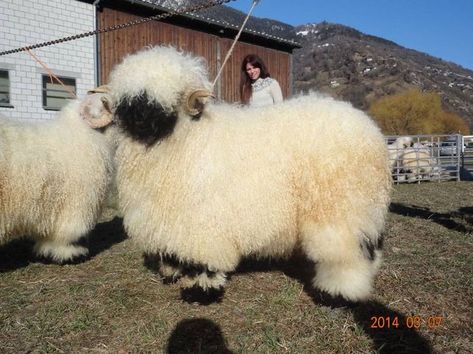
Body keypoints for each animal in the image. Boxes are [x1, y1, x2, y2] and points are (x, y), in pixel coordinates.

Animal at [110, 46, 390, 302]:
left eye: (170, 100)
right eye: (130, 101)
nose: (140, 122)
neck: (187, 138)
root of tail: (370, 131)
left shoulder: (203, 220)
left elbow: (205, 260)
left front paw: (200, 290)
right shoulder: (167, 218)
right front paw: (173, 272)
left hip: (341, 206)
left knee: (347, 250)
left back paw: (337, 293)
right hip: (363, 206)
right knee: (370, 245)